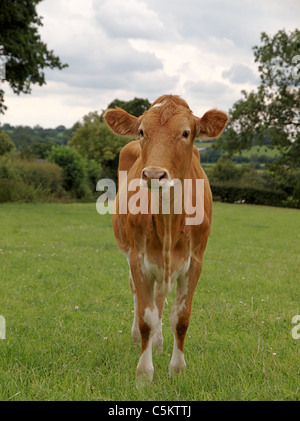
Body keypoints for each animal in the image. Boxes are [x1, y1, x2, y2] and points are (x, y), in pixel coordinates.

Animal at [103, 94, 227, 380]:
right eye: (141, 131)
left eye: (186, 133)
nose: (153, 175)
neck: (169, 222)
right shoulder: (138, 258)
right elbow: (146, 318)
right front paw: (144, 373)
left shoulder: (195, 261)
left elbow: (181, 318)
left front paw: (177, 369)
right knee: (139, 297)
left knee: (159, 299)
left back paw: (159, 344)